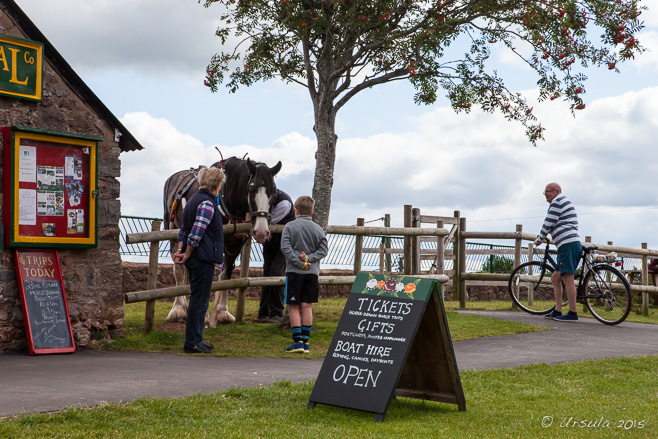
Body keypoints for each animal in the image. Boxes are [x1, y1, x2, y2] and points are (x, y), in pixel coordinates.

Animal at [163, 156, 280, 324]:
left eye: (274, 193)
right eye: (251, 189)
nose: (261, 231)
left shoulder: (234, 245)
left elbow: (226, 274)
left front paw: (221, 311)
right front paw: (204, 315)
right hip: (172, 229)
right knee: (179, 270)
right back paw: (178, 309)